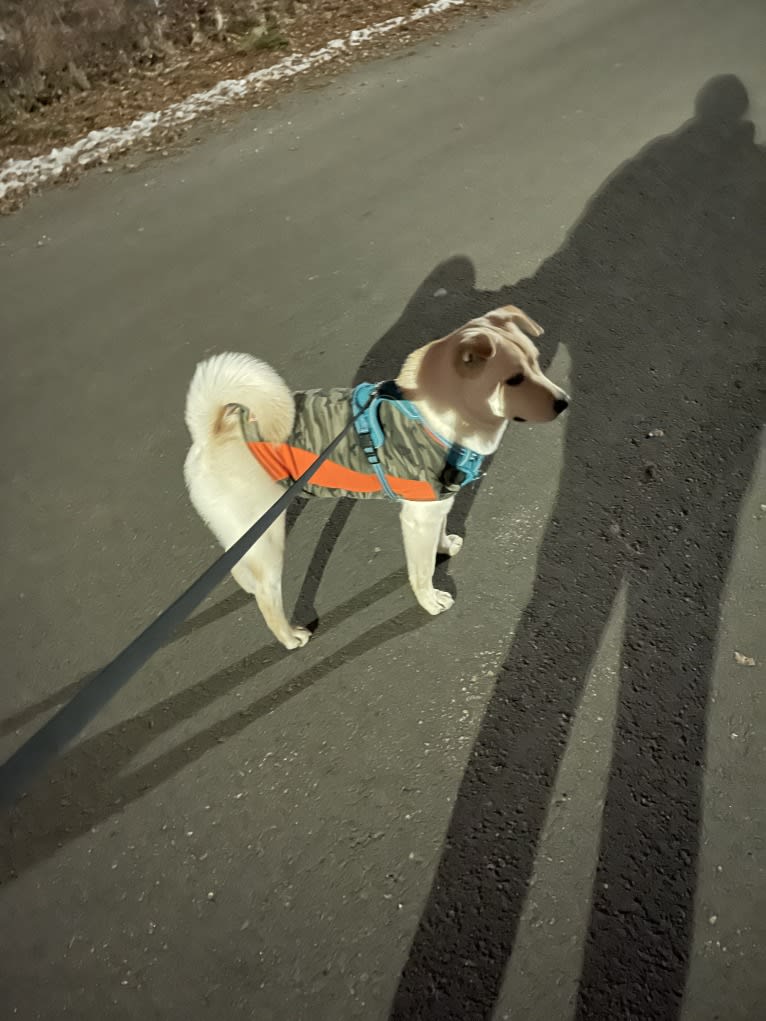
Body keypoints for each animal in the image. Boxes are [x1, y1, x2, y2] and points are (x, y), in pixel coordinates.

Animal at [184, 306, 571, 649]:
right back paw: (290, 636)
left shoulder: (436, 502)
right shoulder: (417, 517)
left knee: (241, 571)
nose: (564, 402)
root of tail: (211, 433)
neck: (440, 416)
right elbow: (420, 571)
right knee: (267, 593)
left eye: (536, 362)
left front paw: (444, 547)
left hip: (247, 531)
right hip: (267, 534)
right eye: (513, 379)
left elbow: (438, 536)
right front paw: (430, 601)